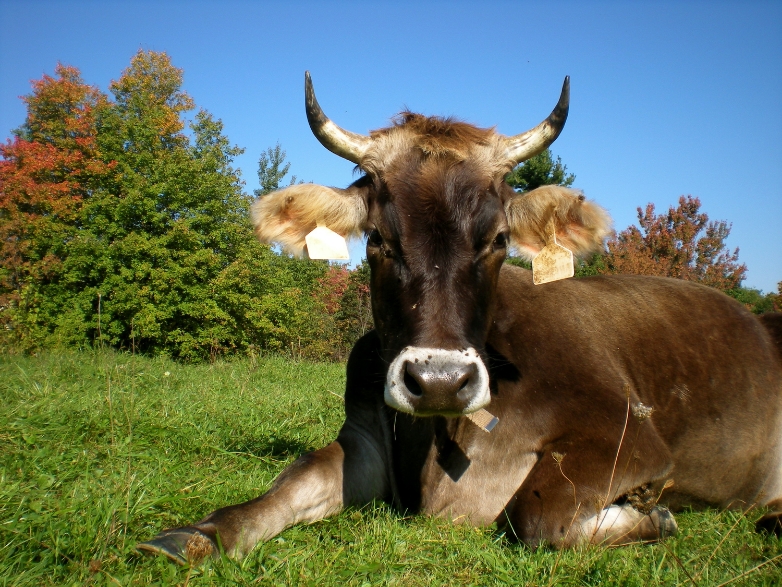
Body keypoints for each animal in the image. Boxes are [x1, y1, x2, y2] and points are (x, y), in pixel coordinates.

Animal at [141, 73, 782, 564]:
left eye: (498, 240)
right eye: (378, 240)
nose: (440, 382)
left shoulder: (628, 434)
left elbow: (539, 515)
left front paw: (653, 513)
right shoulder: (366, 438)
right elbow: (296, 479)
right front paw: (198, 534)